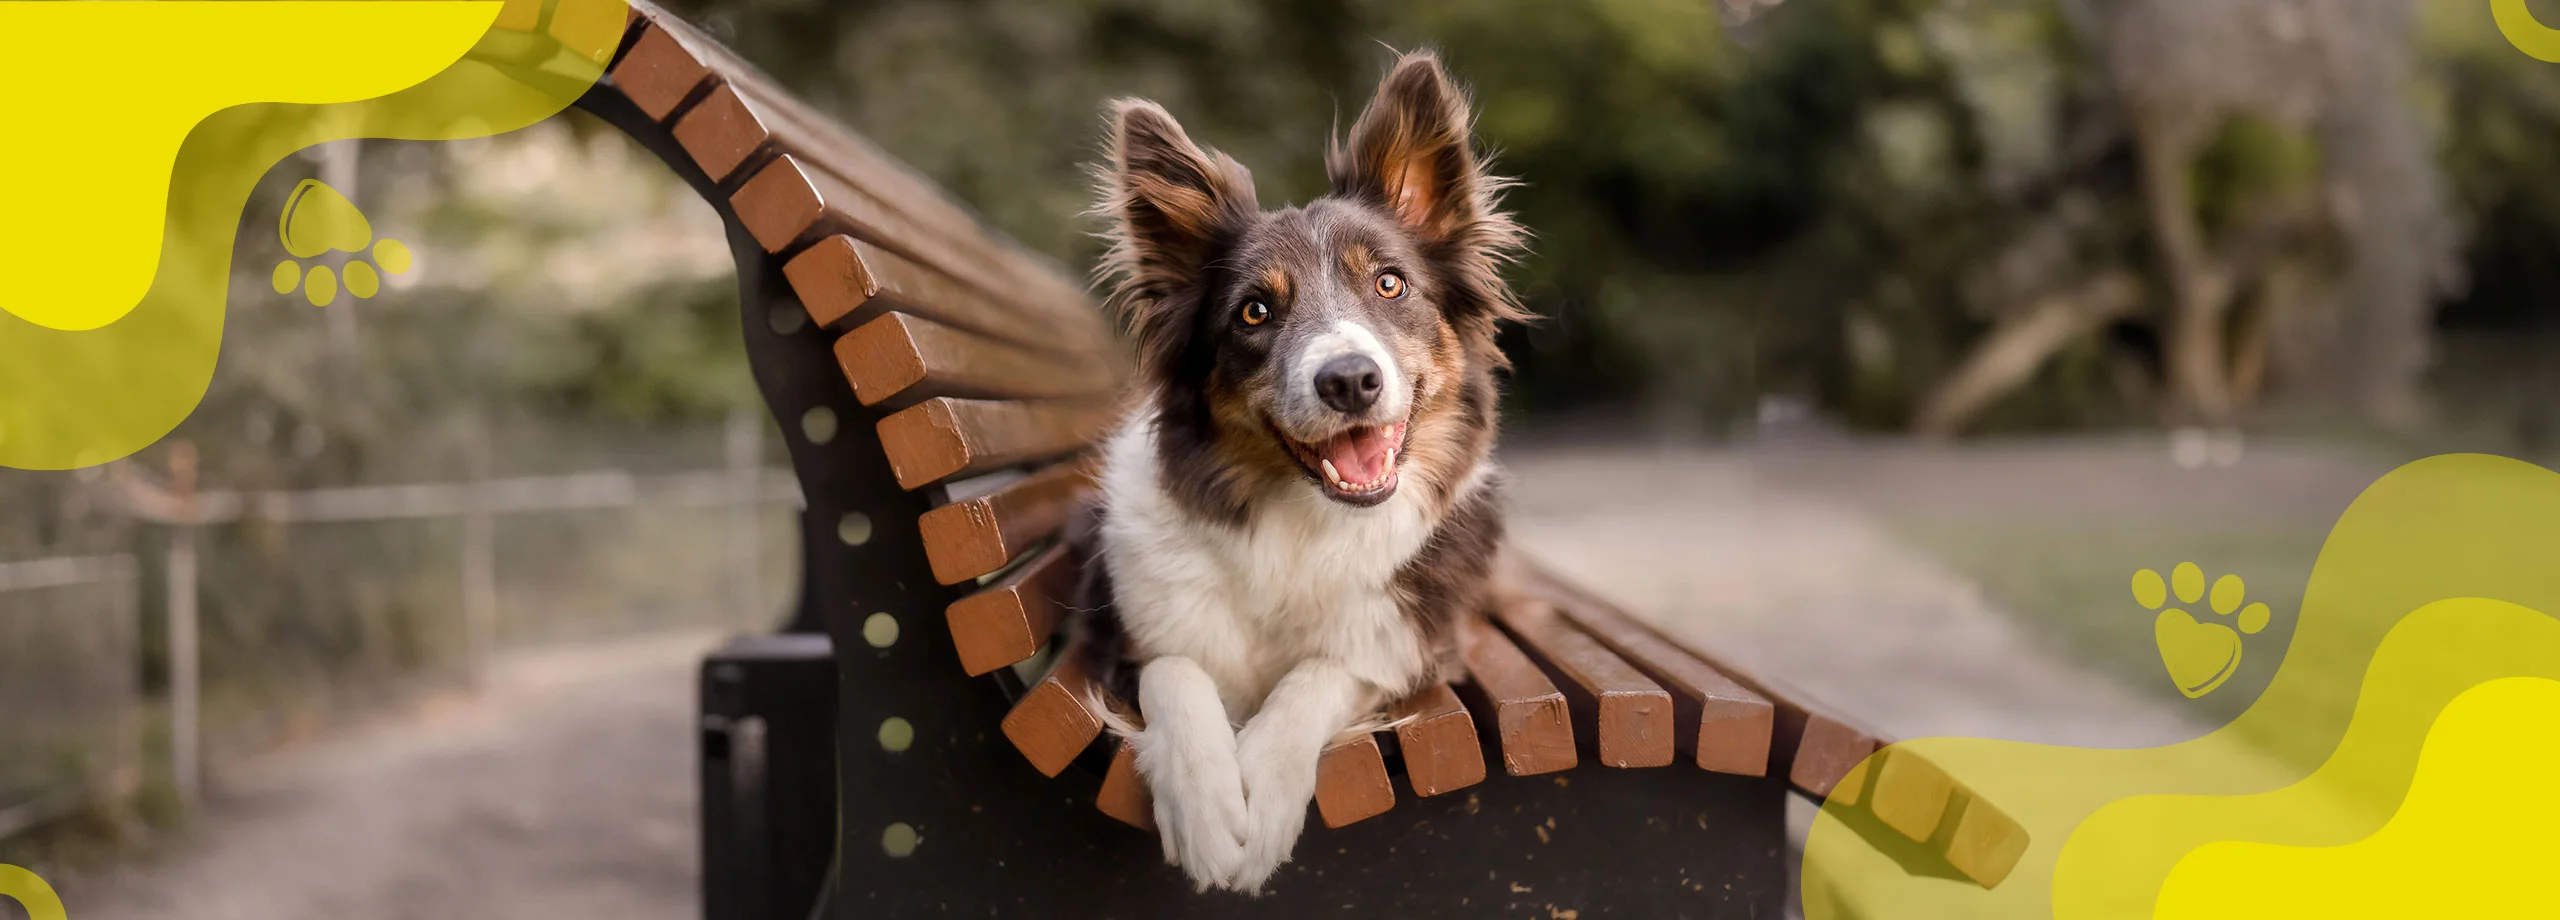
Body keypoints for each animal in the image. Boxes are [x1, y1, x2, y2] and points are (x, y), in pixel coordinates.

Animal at [1070, 50, 1525, 891]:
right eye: (1254, 312)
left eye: (1389, 283)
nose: (1348, 380)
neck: (1304, 523)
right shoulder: (1117, 636)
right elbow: (1176, 669)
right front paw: (1207, 806)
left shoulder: (1405, 645)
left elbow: (1318, 675)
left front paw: (1260, 780)